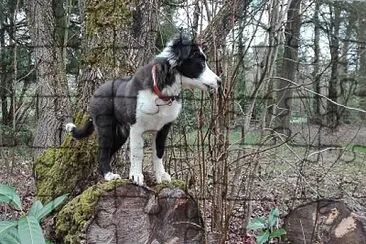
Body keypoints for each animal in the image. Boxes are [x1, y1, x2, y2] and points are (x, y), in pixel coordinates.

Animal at [65, 34, 220, 185]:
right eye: (201, 63)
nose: (219, 81)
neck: (161, 92)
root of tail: (96, 92)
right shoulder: (136, 127)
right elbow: (137, 153)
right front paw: (136, 176)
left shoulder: (163, 128)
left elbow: (159, 152)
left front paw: (161, 176)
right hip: (106, 127)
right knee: (103, 153)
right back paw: (109, 175)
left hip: (120, 133)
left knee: (106, 153)